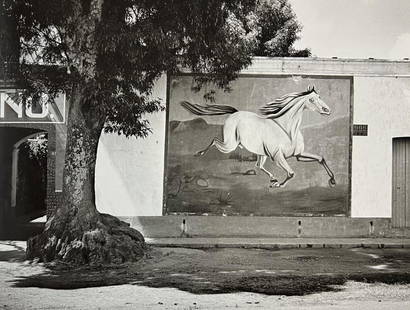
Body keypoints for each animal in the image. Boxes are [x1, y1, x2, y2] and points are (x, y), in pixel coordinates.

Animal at [181, 85, 334, 188]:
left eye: (319, 97)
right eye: (311, 100)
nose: (327, 110)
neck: (286, 130)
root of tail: (235, 113)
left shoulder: (299, 155)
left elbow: (320, 158)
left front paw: (332, 180)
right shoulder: (278, 156)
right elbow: (291, 173)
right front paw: (279, 185)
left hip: (261, 153)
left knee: (258, 165)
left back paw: (273, 179)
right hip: (230, 145)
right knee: (214, 140)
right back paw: (199, 153)